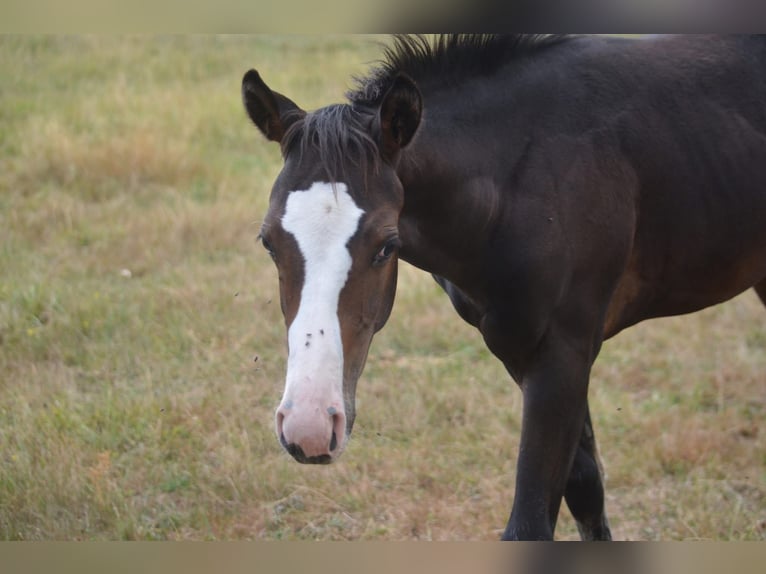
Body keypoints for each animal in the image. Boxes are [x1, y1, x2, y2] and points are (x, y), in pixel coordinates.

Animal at [241, 34, 766, 540]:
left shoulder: (564, 351)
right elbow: (586, 490)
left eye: (387, 245)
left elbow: (530, 523)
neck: (521, 179)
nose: (308, 426)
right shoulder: (518, 348)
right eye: (267, 242)